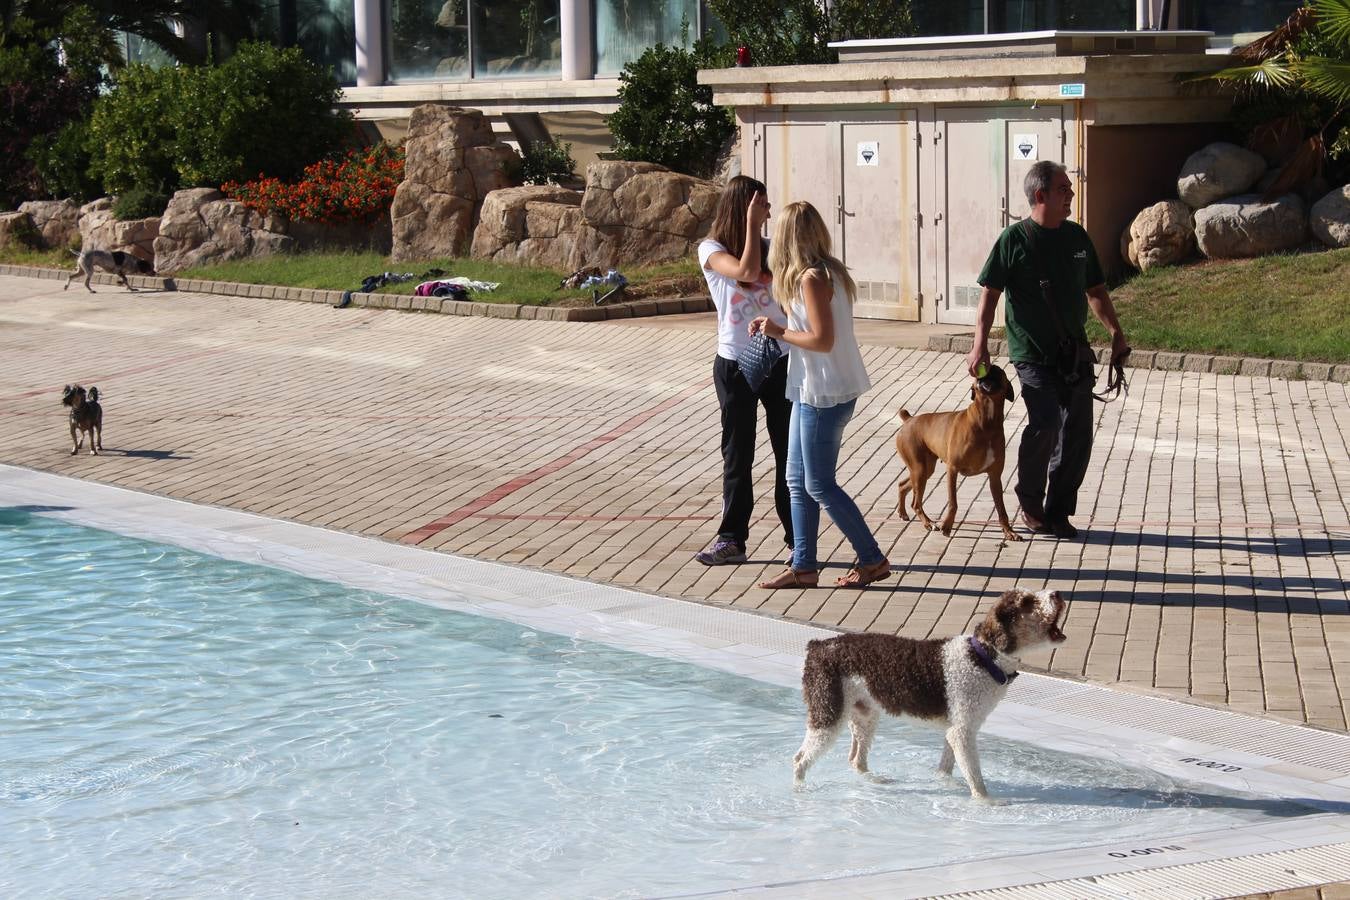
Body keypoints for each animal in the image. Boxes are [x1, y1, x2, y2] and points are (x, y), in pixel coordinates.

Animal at [788, 591, 1063, 804]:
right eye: (1026, 601)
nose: (1057, 593)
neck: (982, 658)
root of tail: (818, 646)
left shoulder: (956, 729)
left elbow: (947, 767)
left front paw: (946, 784)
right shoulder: (962, 732)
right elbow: (974, 774)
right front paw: (986, 801)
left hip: (864, 715)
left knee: (856, 760)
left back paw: (874, 780)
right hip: (827, 715)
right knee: (800, 759)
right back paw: (800, 792)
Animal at [896, 364, 1020, 542]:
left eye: (998, 371)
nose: (989, 366)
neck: (986, 423)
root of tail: (909, 419)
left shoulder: (995, 476)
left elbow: (1001, 509)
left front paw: (1009, 531)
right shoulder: (953, 470)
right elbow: (953, 503)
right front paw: (947, 526)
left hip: (924, 470)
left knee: (902, 485)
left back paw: (903, 513)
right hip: (919, 470)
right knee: (916, 503)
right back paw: (928, 523)